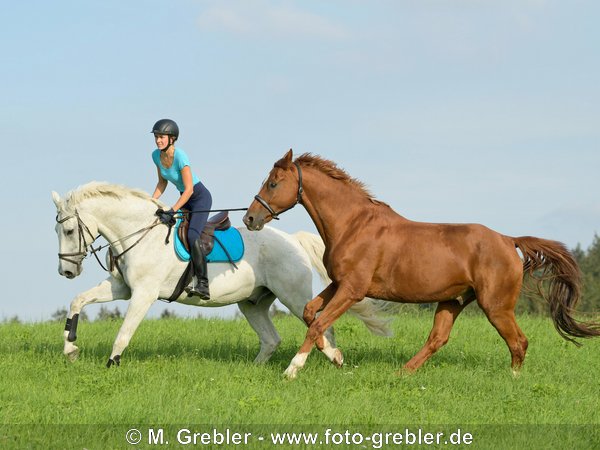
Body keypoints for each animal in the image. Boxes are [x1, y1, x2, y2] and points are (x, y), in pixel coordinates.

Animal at [50, 181, 390, 368]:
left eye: (68, 231)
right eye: (57, 231)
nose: (66, 270)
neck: (139, 233)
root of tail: (293, 239)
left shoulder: (144, 294)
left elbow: (124, 331)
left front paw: (112, 363)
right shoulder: (122, 289)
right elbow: (78, 301)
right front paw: (70, 349)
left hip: (292, 297)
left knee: (322, 327)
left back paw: (334, 358)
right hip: (252, 303)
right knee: (271, 339)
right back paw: (253, 370)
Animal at [244, 149, 600, 378]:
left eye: (273, 183)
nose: (250, 218)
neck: (353, 224)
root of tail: (508, 240)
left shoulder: (352, 290)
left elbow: (316, 323)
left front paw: (293, 369)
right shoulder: (339, 284)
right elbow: (309, 313)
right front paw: (336, 357)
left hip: (495, 306)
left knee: (518, 342)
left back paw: (513, 380)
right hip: (453, 301)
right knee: (437, 339)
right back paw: (403, 373)